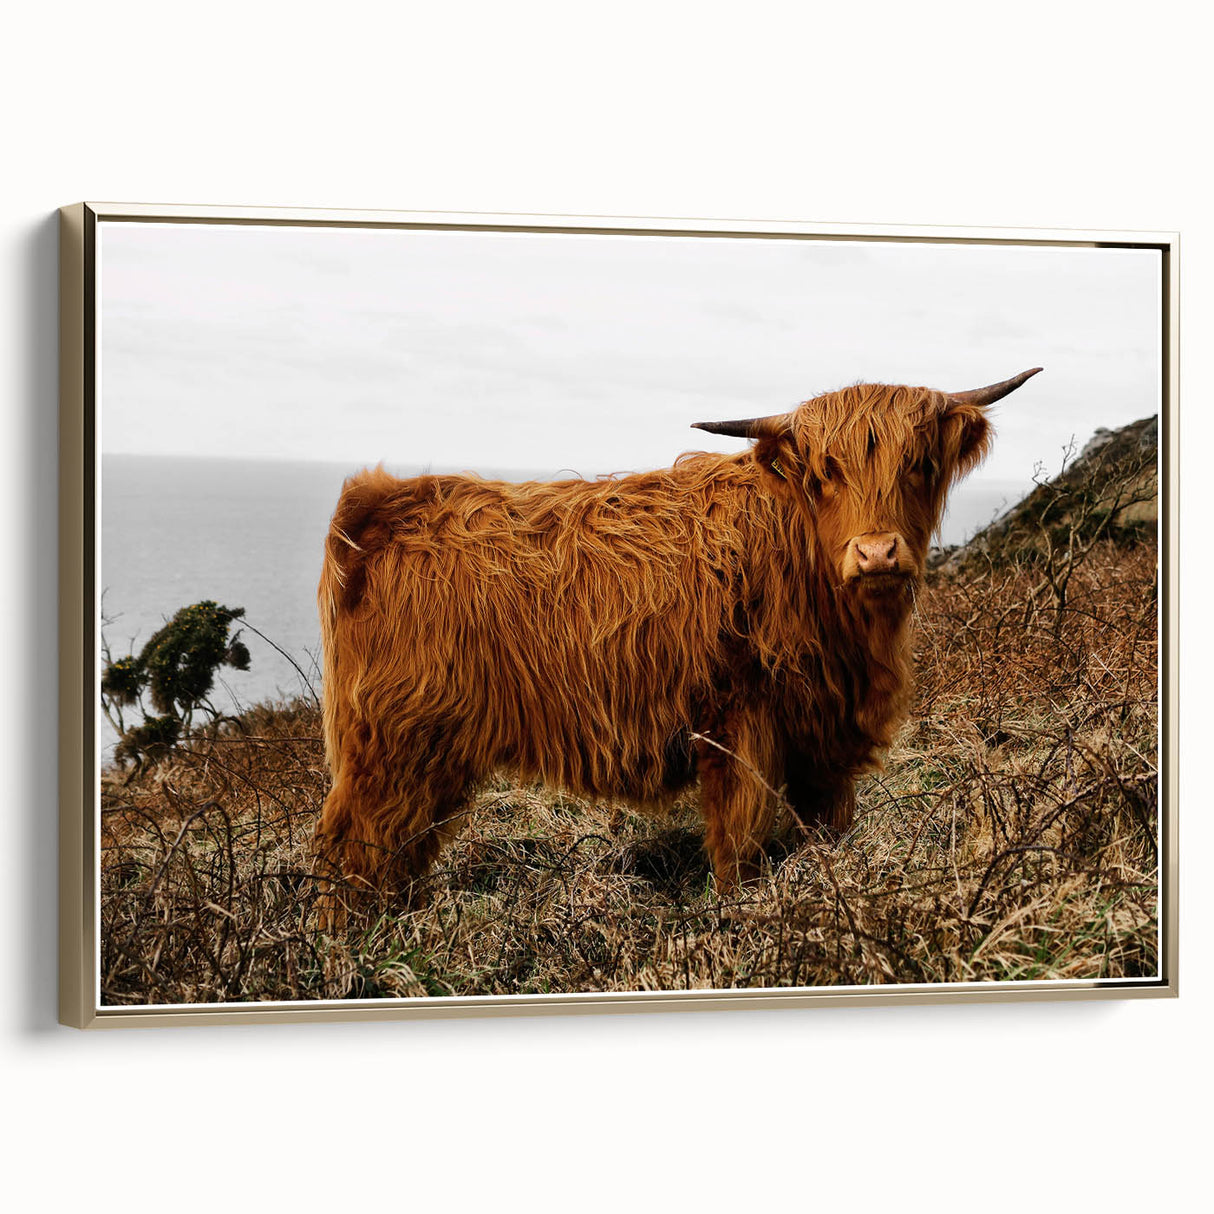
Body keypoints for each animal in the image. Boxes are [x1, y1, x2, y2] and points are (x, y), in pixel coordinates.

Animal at [314, 368, 1041, 909]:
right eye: (824, 473)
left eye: (919, 464)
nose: (877, 552)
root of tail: (383, 503)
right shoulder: (738, 723)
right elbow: (740, 842)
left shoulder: (823, 737)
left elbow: (828, 829)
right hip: (395, 742)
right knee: (357, 845)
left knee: (399, 850)